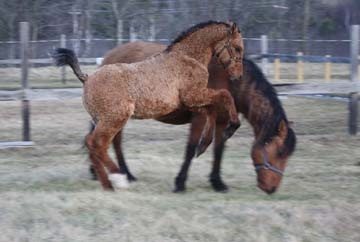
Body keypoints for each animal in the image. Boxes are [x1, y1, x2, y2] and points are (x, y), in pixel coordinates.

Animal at [52, 20, 245, 190]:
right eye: (238, 48)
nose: (238, 76)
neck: (189, 58)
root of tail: (87, 78)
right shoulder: (194, 95)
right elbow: (225, 95)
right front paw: (231, 127)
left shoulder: (192, 102)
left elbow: (211, 110)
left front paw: (203, 145)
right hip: (114, 120)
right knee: (98, 144)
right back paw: (119, 178)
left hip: (105, 120)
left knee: (94, 143)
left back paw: (108, 182)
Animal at [92, 40, 296, 194]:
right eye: (278, 152)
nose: (271, 189)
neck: (228, 80)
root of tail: (108, 57)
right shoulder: (200, 118)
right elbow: (191, 149)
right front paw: (180, 183)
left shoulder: (222, 121)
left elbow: (219, 151)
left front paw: (217, 182)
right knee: (114, 142)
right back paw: (124, 174)